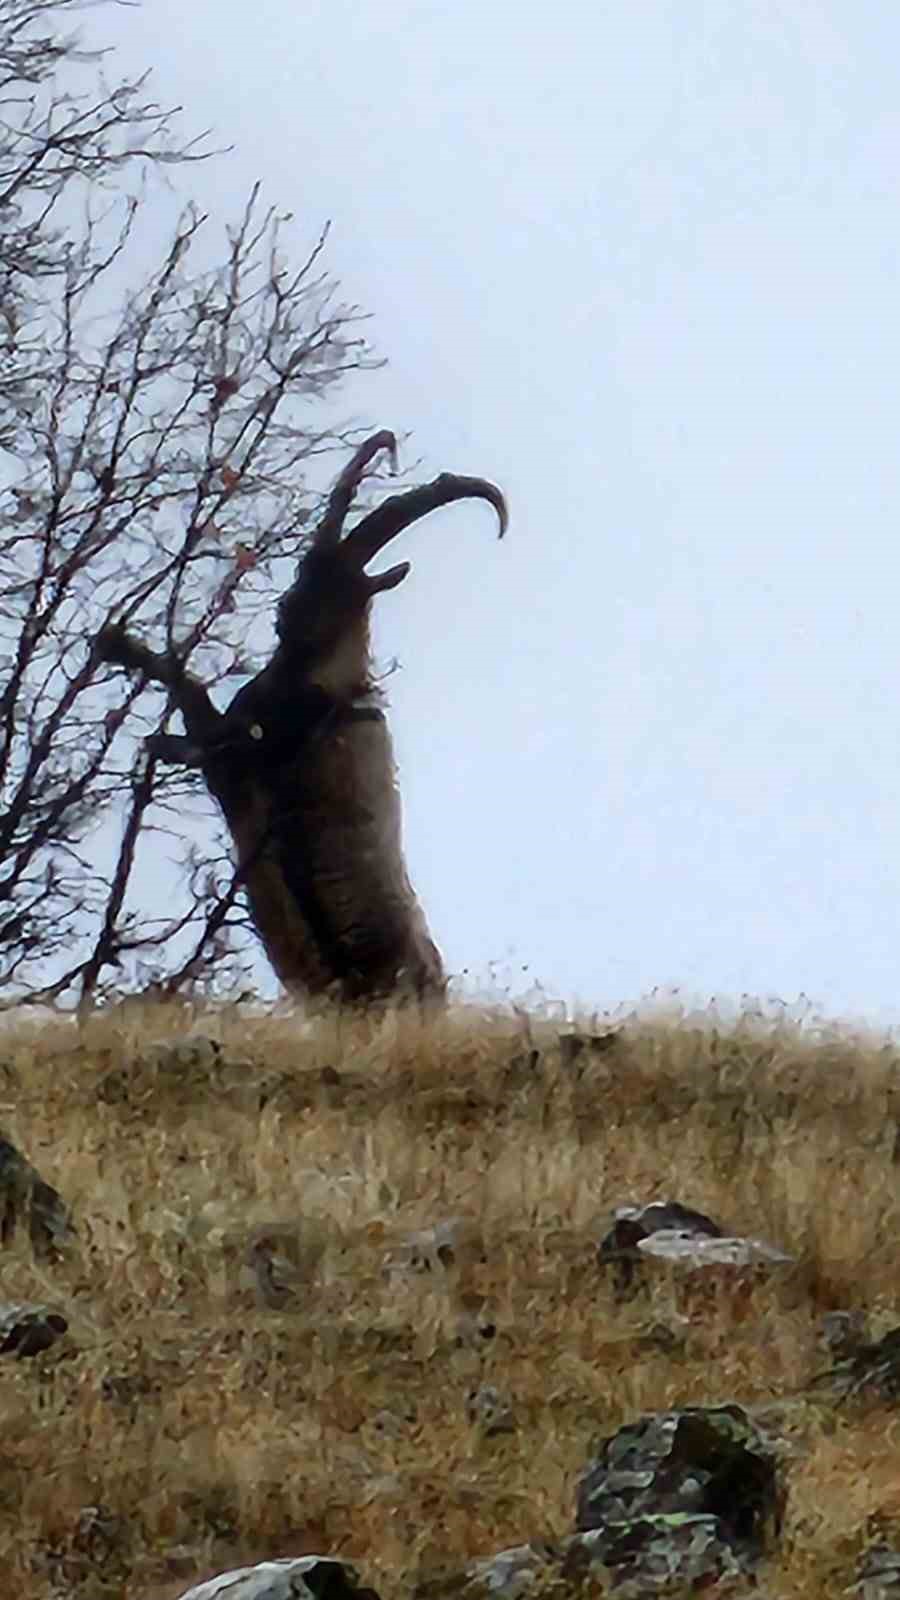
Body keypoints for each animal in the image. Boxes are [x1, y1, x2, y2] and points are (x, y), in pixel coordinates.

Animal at [99, 428, 506, 998]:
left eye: (339, 583)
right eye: (306, 569)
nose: (287, 609)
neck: (314, 676)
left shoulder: (268, 743)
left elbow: (211, 717)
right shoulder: (233, 769)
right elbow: (198, 710)